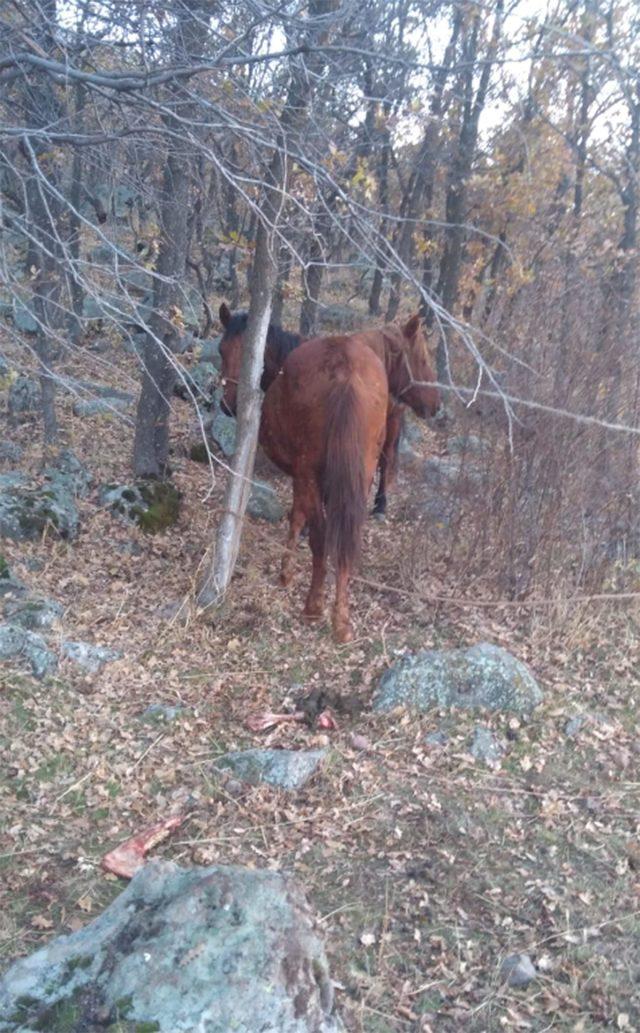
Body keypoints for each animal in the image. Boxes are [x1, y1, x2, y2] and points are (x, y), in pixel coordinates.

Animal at [257, 332, 388, 636]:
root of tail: (346, 369)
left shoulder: (301, 475)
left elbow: (297, 516)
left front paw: (286, 573)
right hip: (362, 474)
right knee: (346, 537)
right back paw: (341, 621)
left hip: (310, 473)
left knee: (321, 537)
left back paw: (313, 608)